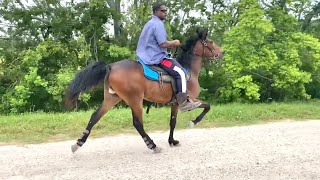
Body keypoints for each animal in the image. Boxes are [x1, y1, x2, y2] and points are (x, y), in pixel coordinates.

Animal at [64, 27, 225, 153]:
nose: (222, 52)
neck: (188, 69)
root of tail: (110, 66)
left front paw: (172, 141)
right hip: (135, 100)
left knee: (94, 117)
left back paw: (78, 144)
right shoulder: (191, 100)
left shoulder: (175, 104)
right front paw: (193, 122)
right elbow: (207, 106)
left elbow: (172, 122)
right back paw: (152, 145)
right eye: (210, 42)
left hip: (112, 98)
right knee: (137, 123)